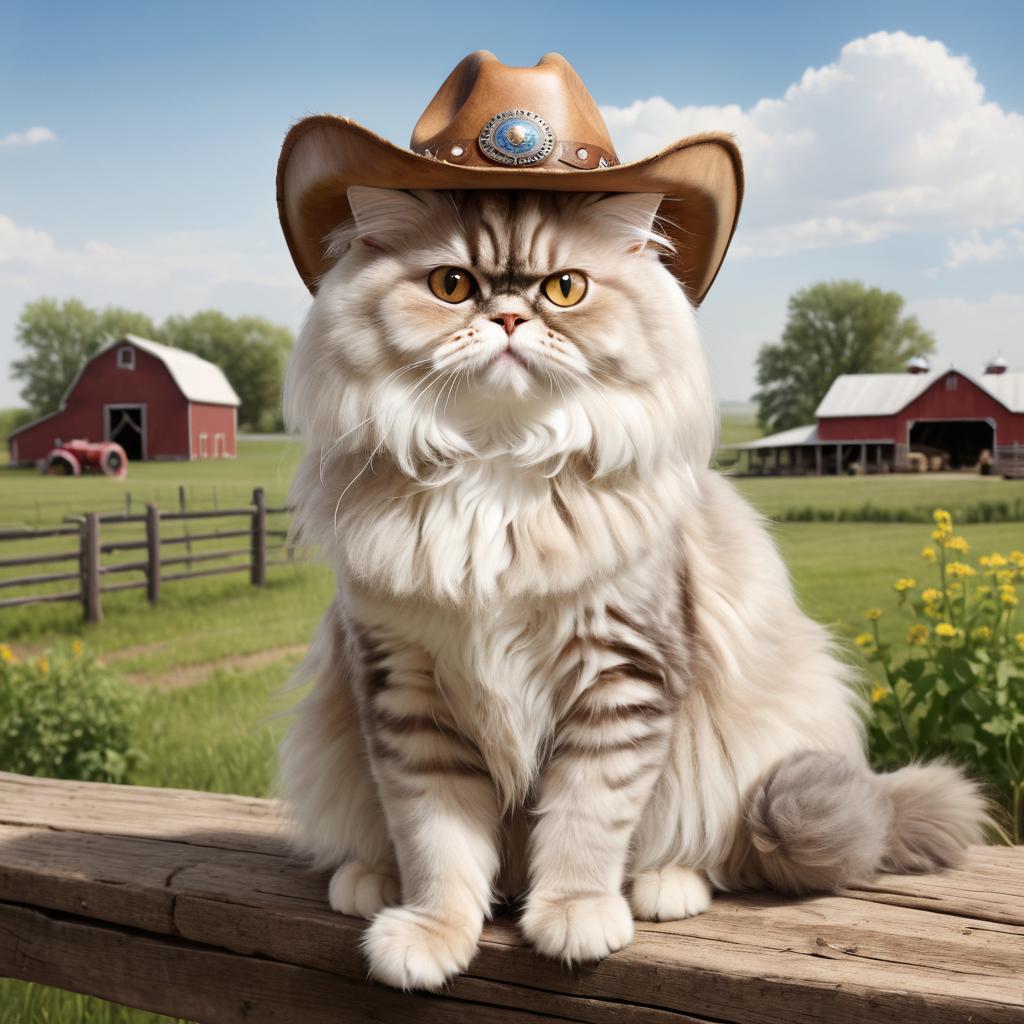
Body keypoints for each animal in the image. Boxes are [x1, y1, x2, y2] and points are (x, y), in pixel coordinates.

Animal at [278, 186, 983, 991]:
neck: (497, 468)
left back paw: (665, 887)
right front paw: (431, 934)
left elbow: (587, 819)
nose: (511, 318)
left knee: (717, 852)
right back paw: (368, 881)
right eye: (451, 285)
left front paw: (573, 916)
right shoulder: (404, 687)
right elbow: (436, 839)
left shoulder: (622, 674)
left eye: (566, 288)